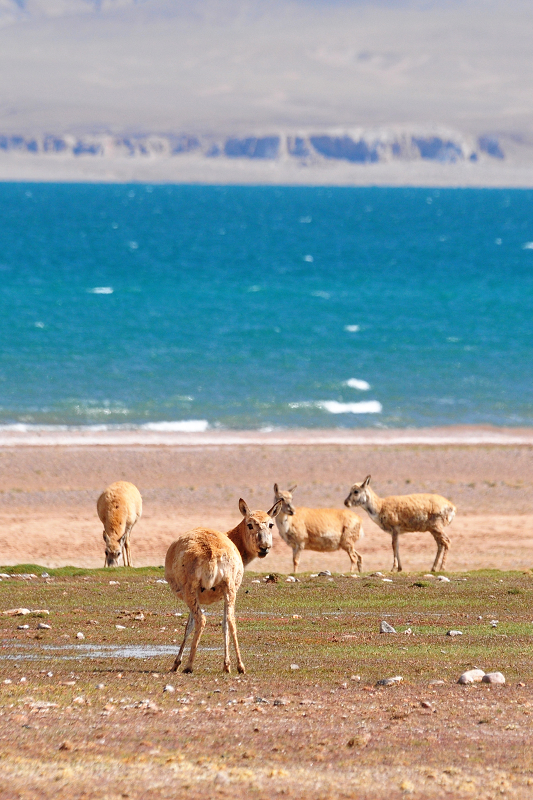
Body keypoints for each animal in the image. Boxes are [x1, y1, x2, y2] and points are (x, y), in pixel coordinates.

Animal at [164, 497, 282, 674]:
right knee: (230, 621)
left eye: (270, 524)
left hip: (190, 591)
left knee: (201, 620)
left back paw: (189, 666)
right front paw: (227, 665)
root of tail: (211, 552)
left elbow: (188, 626)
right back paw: (239, 666)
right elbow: (224, 624)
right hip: (229, 589)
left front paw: (176, 663)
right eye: (250, 524)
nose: (264, 547)